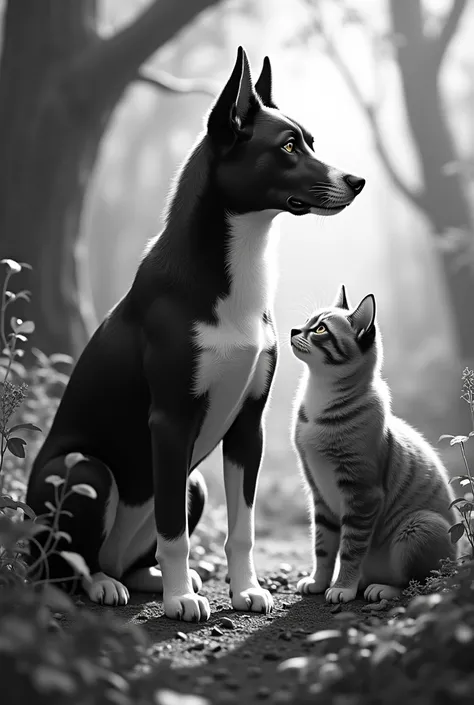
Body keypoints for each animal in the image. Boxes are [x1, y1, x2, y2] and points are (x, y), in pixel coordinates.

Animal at [25, 48, 364, 620]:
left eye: (311, 141)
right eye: (288, 146)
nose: (357, 181)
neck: (231, 269)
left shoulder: (248, 424)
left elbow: (241, 528)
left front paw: (245, 589)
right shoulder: (170, 421)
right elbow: (174, 532)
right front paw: (181, 598)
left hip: (194, 483)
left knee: (131, 554)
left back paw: (142, 577)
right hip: (85, 473)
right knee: (62, 563)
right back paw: (104, 584)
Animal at [288, 284, 456, 604]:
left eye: (320, 329)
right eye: (306, 322)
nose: (292, 330)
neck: (321, 394)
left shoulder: (362, 494)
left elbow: (350, 550)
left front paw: (342, 587)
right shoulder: (319, 493)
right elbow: (323, 547)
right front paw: (318, 582)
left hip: (419, 525)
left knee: (421, 583)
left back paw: (381, 589)